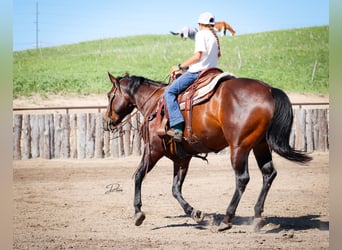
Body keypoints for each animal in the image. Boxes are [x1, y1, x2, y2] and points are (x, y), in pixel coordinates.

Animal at [103, 71, 312, 231]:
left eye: (109, 95)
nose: (107, 121)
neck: (155, 104)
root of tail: (268, 90)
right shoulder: (182, 158)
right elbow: (175, 188)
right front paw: (194, 212)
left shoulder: (153, 149)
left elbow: (138, 175)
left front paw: (138, 213)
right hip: (260, 145)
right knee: (268, 173)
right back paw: (258, 216)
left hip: (239, 147)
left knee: (242, 178)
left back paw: (227, 219)